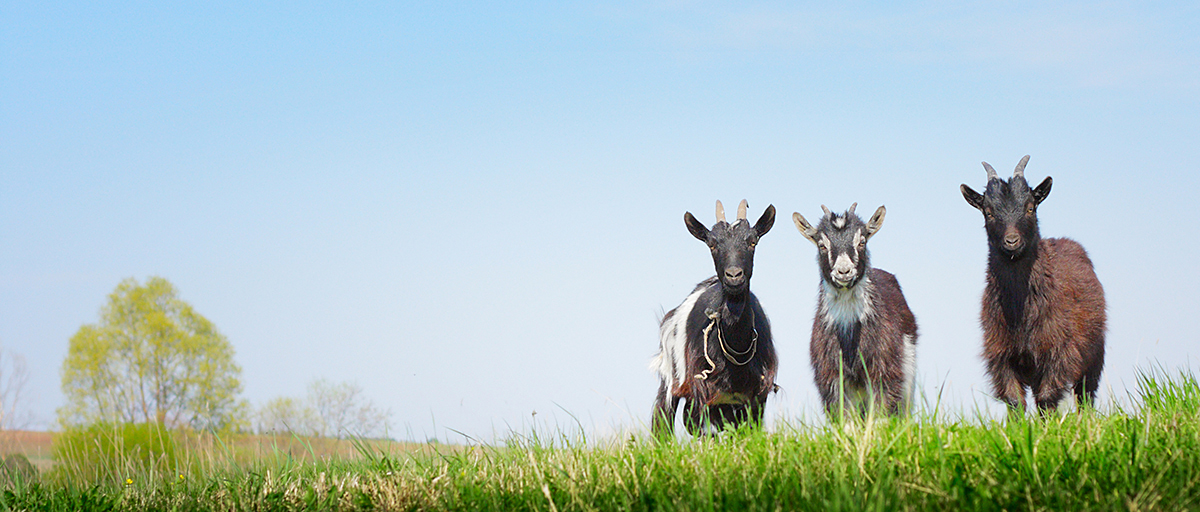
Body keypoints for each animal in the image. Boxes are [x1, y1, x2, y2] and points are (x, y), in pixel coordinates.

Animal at [651, 200, 778, 437]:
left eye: (753, 241)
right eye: (712, 244)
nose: (734, 275)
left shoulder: (758, 393)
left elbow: (751, 430)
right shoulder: (700, 388)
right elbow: (698, 429)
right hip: (671, 378)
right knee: (664, 418)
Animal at [793, 203, 918, 418]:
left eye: (862, 241)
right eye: (822, 245)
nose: (844, 271)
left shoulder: (886, 370)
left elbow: (880, 414)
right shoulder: (831, 377)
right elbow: (845, 417)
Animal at [961, 155, 1106, 413]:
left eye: (1030, 207)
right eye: (988, 212)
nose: (1011, 241)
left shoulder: (1059, 350)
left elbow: (1046, 399)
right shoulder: (1001, 354)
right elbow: (1014, 401)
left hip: (1094, 355)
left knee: (1085, 395)